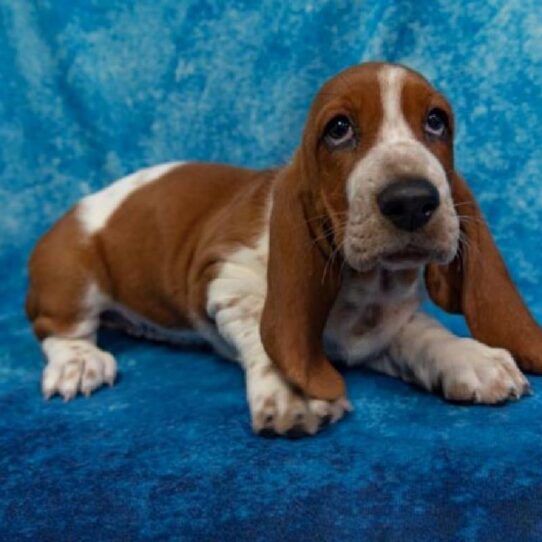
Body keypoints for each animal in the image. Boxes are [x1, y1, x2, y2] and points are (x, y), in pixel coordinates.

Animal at [26, 62, 542, 438]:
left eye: (436, 122)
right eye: (338, 129)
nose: (412, 200)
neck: (364, 286)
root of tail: (72, 210)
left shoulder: (380, 329)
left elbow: (423, 332)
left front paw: (470, 356)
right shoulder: (226, 279)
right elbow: (266, 329)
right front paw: (294, 389)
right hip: (74, 277)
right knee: (58, 329)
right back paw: (78, 362)